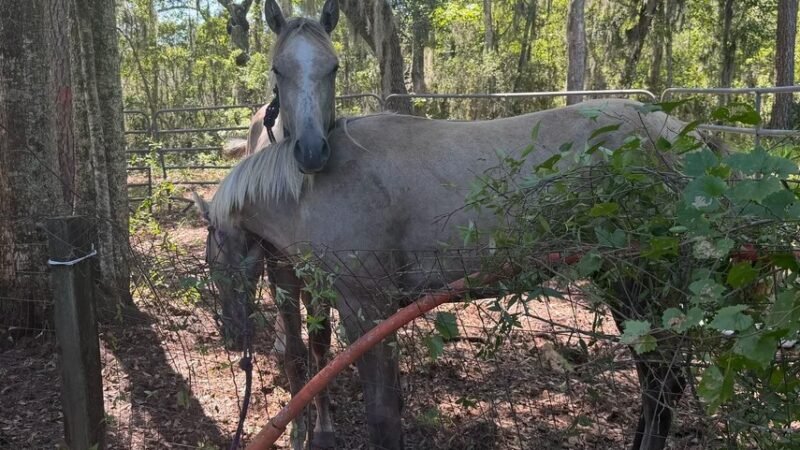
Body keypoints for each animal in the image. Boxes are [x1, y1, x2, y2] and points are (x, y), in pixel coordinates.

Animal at [196, 1, 694, 449]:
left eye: (214, 261)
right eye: (278, 70)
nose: (231, 335)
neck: (319, 186)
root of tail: (682, 133)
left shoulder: (365, 309)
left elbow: (382, 416)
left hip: (639, 284)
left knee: (663, 382)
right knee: (656, 381)